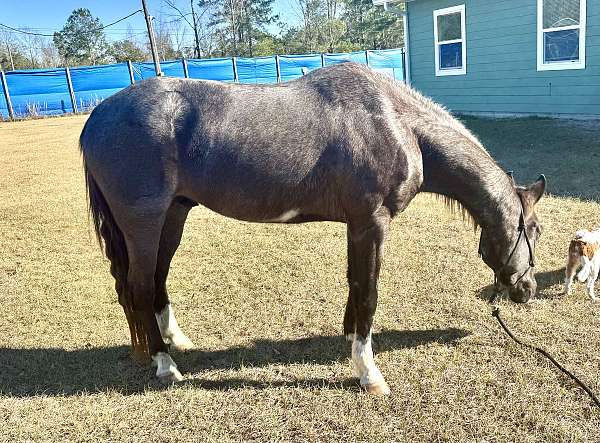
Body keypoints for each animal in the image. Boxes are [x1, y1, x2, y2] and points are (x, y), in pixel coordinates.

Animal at [78, 62, 544, 396]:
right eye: (535, 230)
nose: (528, 289)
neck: (395, 120)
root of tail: (97, 117)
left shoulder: (357, 225)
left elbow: (355, 283)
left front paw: (351, 339)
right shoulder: (371, 222)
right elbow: (369, 291)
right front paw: (369, 373)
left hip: (173, 216)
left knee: (157, 280)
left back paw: (176, 341)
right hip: (144, 223)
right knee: (139, 287)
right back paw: (165, 365)